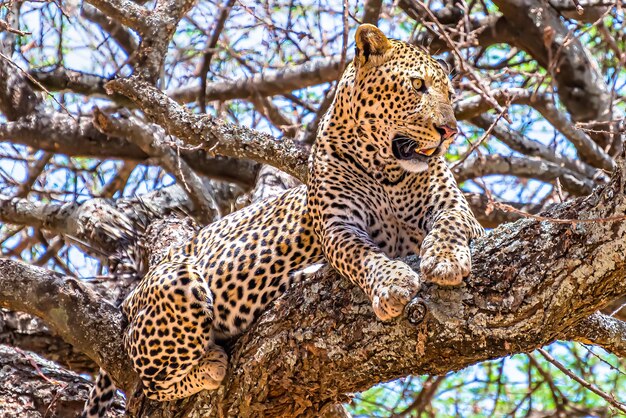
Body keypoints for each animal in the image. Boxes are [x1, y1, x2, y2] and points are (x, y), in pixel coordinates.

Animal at [81, 24, 482, 416]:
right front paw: (393, 282)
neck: (388, 171)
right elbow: (363, 255)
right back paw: (210, 365)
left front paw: (445, 260)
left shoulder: (457, 210)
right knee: (150, 384)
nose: (450, 131)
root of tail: (135, 291)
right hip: (178, 284)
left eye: (450, 95)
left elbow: (450, 224)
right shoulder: (338, 228)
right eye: (417, 85)